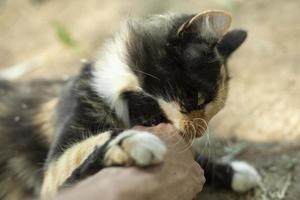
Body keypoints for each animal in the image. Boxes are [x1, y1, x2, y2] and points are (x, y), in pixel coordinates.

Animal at [0, 10, 258, 200]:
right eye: (196, 98)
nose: (200, 132)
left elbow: (197, 159)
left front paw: (234, 172)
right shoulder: (52, 176)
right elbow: (88, 148)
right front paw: (132, 142)